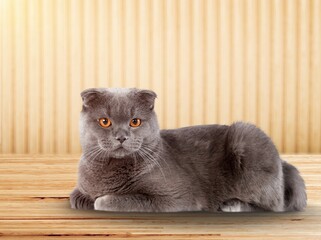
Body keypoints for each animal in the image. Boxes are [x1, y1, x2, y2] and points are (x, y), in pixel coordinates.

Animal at [69, 88, 304, 212]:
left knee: (274, 205)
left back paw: (232, 204)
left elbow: (113, 200)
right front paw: (83, 199)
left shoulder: (174, 198)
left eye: (135, 122)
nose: (121, 137)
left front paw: (100, 200)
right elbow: (75, 196)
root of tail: (283, 164)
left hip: (246, 138)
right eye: (105, 121)